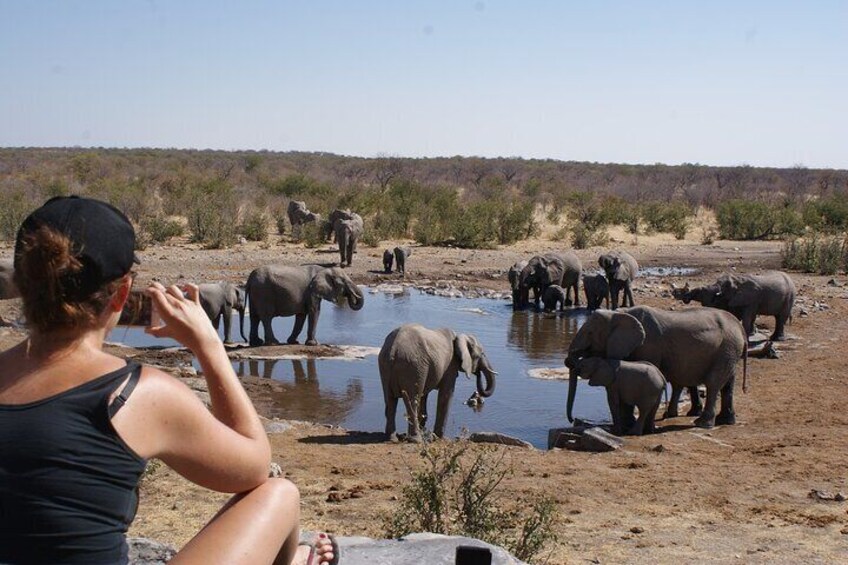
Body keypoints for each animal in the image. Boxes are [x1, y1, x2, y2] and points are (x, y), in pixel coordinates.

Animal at [568, 306, 744, 426]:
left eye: (590, 333)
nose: (574, 419)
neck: (620, 313)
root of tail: (738, 324)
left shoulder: (649, 345)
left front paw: (628, 424)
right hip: (729, 349)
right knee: (727, 383)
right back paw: (725, 420)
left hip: (727, 347)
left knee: (713, 382)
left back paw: (702, 423)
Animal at [672, 272, 800, 342]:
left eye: (713, 300)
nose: (685, 299)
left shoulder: (751, 299)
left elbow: (748, 318)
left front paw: (747, 338)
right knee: (778, 317)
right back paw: (773, 338)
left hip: (791, 294)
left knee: (781, 317)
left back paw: (778, 339)